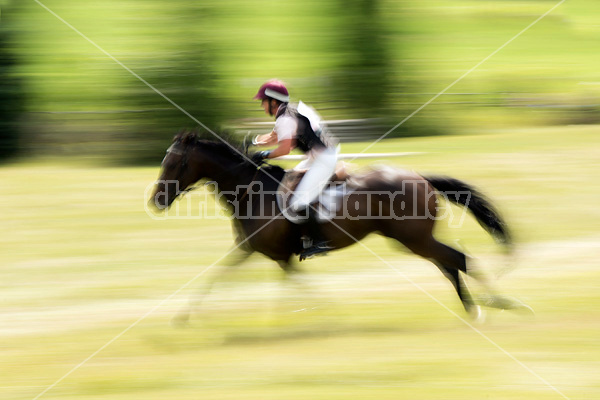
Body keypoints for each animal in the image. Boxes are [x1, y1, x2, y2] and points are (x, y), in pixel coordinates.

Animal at [149, 131, 528, 322]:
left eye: (174, 163)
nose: (156, 200)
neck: (250, 190)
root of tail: (421, 177)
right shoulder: (256, 251)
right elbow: (220, 275)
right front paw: (184, 316)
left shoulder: (274, 254)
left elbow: (300, 286)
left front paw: (329, 313)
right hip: (412, 239)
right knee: (449, 265)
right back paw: (475, 308)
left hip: (414, 238)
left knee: (458, 260)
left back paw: (499, 304)